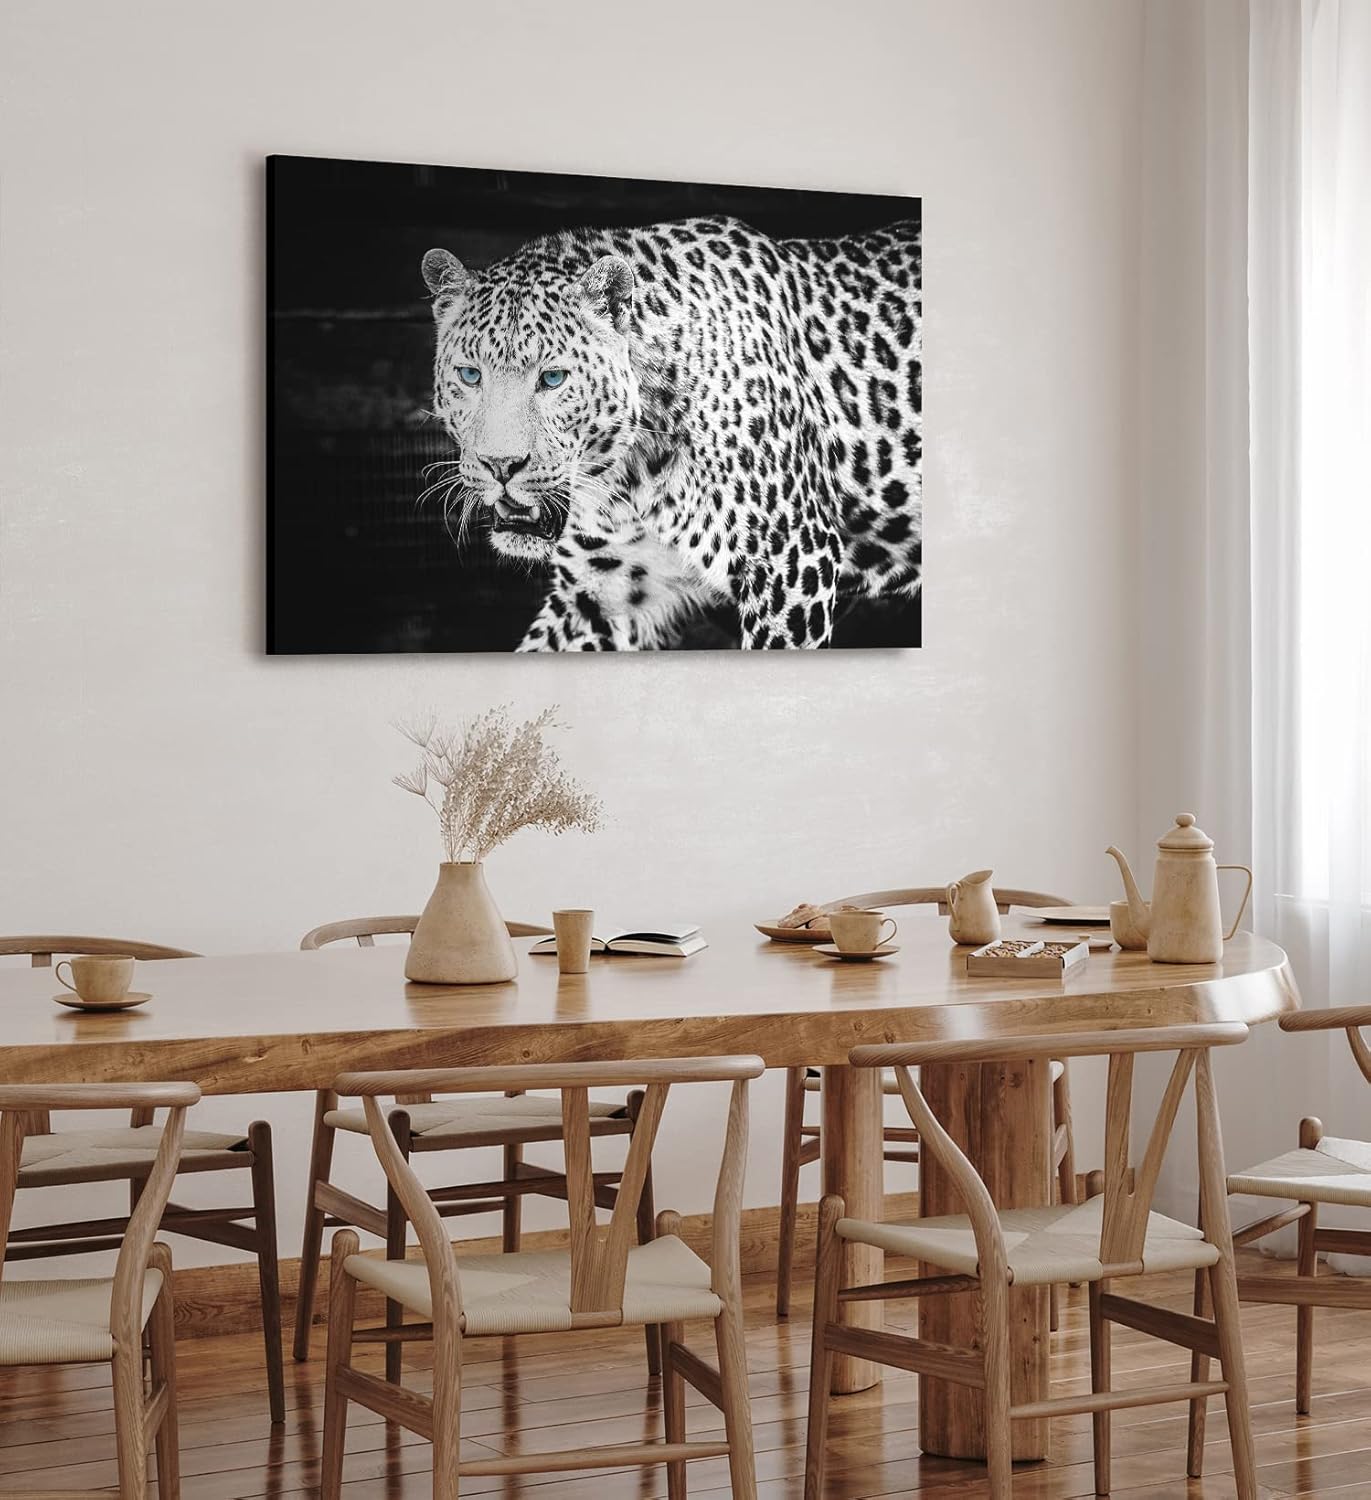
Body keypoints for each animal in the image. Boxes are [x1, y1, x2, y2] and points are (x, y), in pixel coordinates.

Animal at [419, 211, 920, 650]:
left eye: (553, 378)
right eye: (470, 375)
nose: (500, 465)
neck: (628, 478)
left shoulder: (793, 563)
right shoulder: (600, 593)